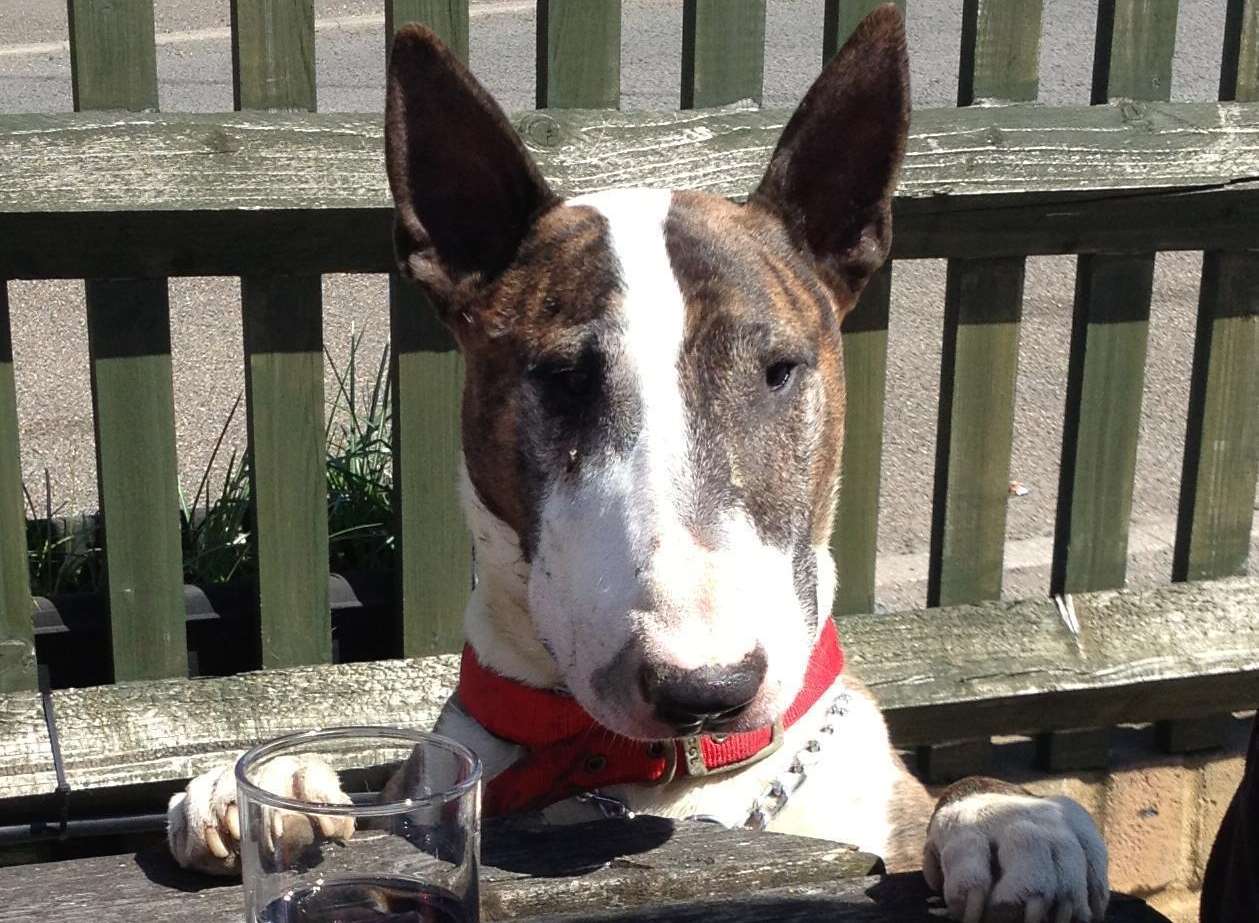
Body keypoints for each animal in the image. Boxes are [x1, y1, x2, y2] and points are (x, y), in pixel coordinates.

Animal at [172, 9, 1107, 921]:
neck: (654, 774)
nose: (706, 688)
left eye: (778, 369)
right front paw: (273, 786)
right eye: (563, 377)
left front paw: (1007, 818)